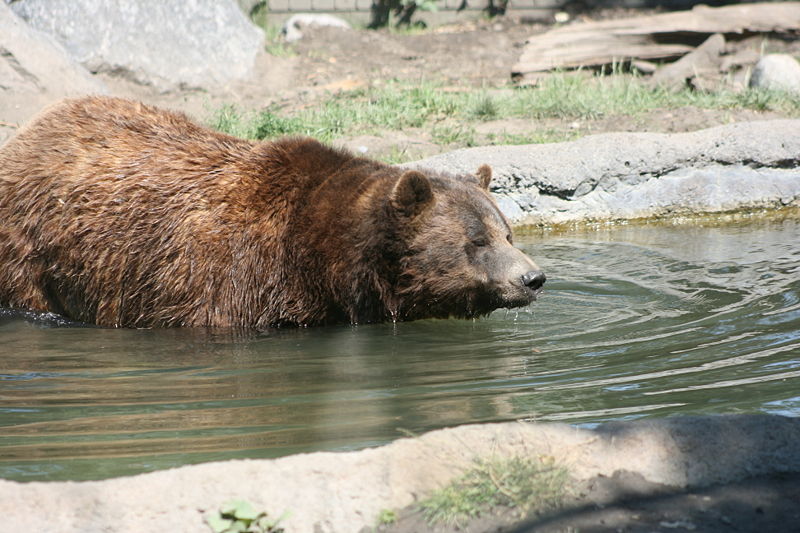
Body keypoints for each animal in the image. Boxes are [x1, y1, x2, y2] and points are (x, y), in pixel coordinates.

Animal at [0, 97, 544, 326]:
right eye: (476, 241)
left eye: (508, 233)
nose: (533, 278)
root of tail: (32, 128)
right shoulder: (228, 279)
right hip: (31, 250)